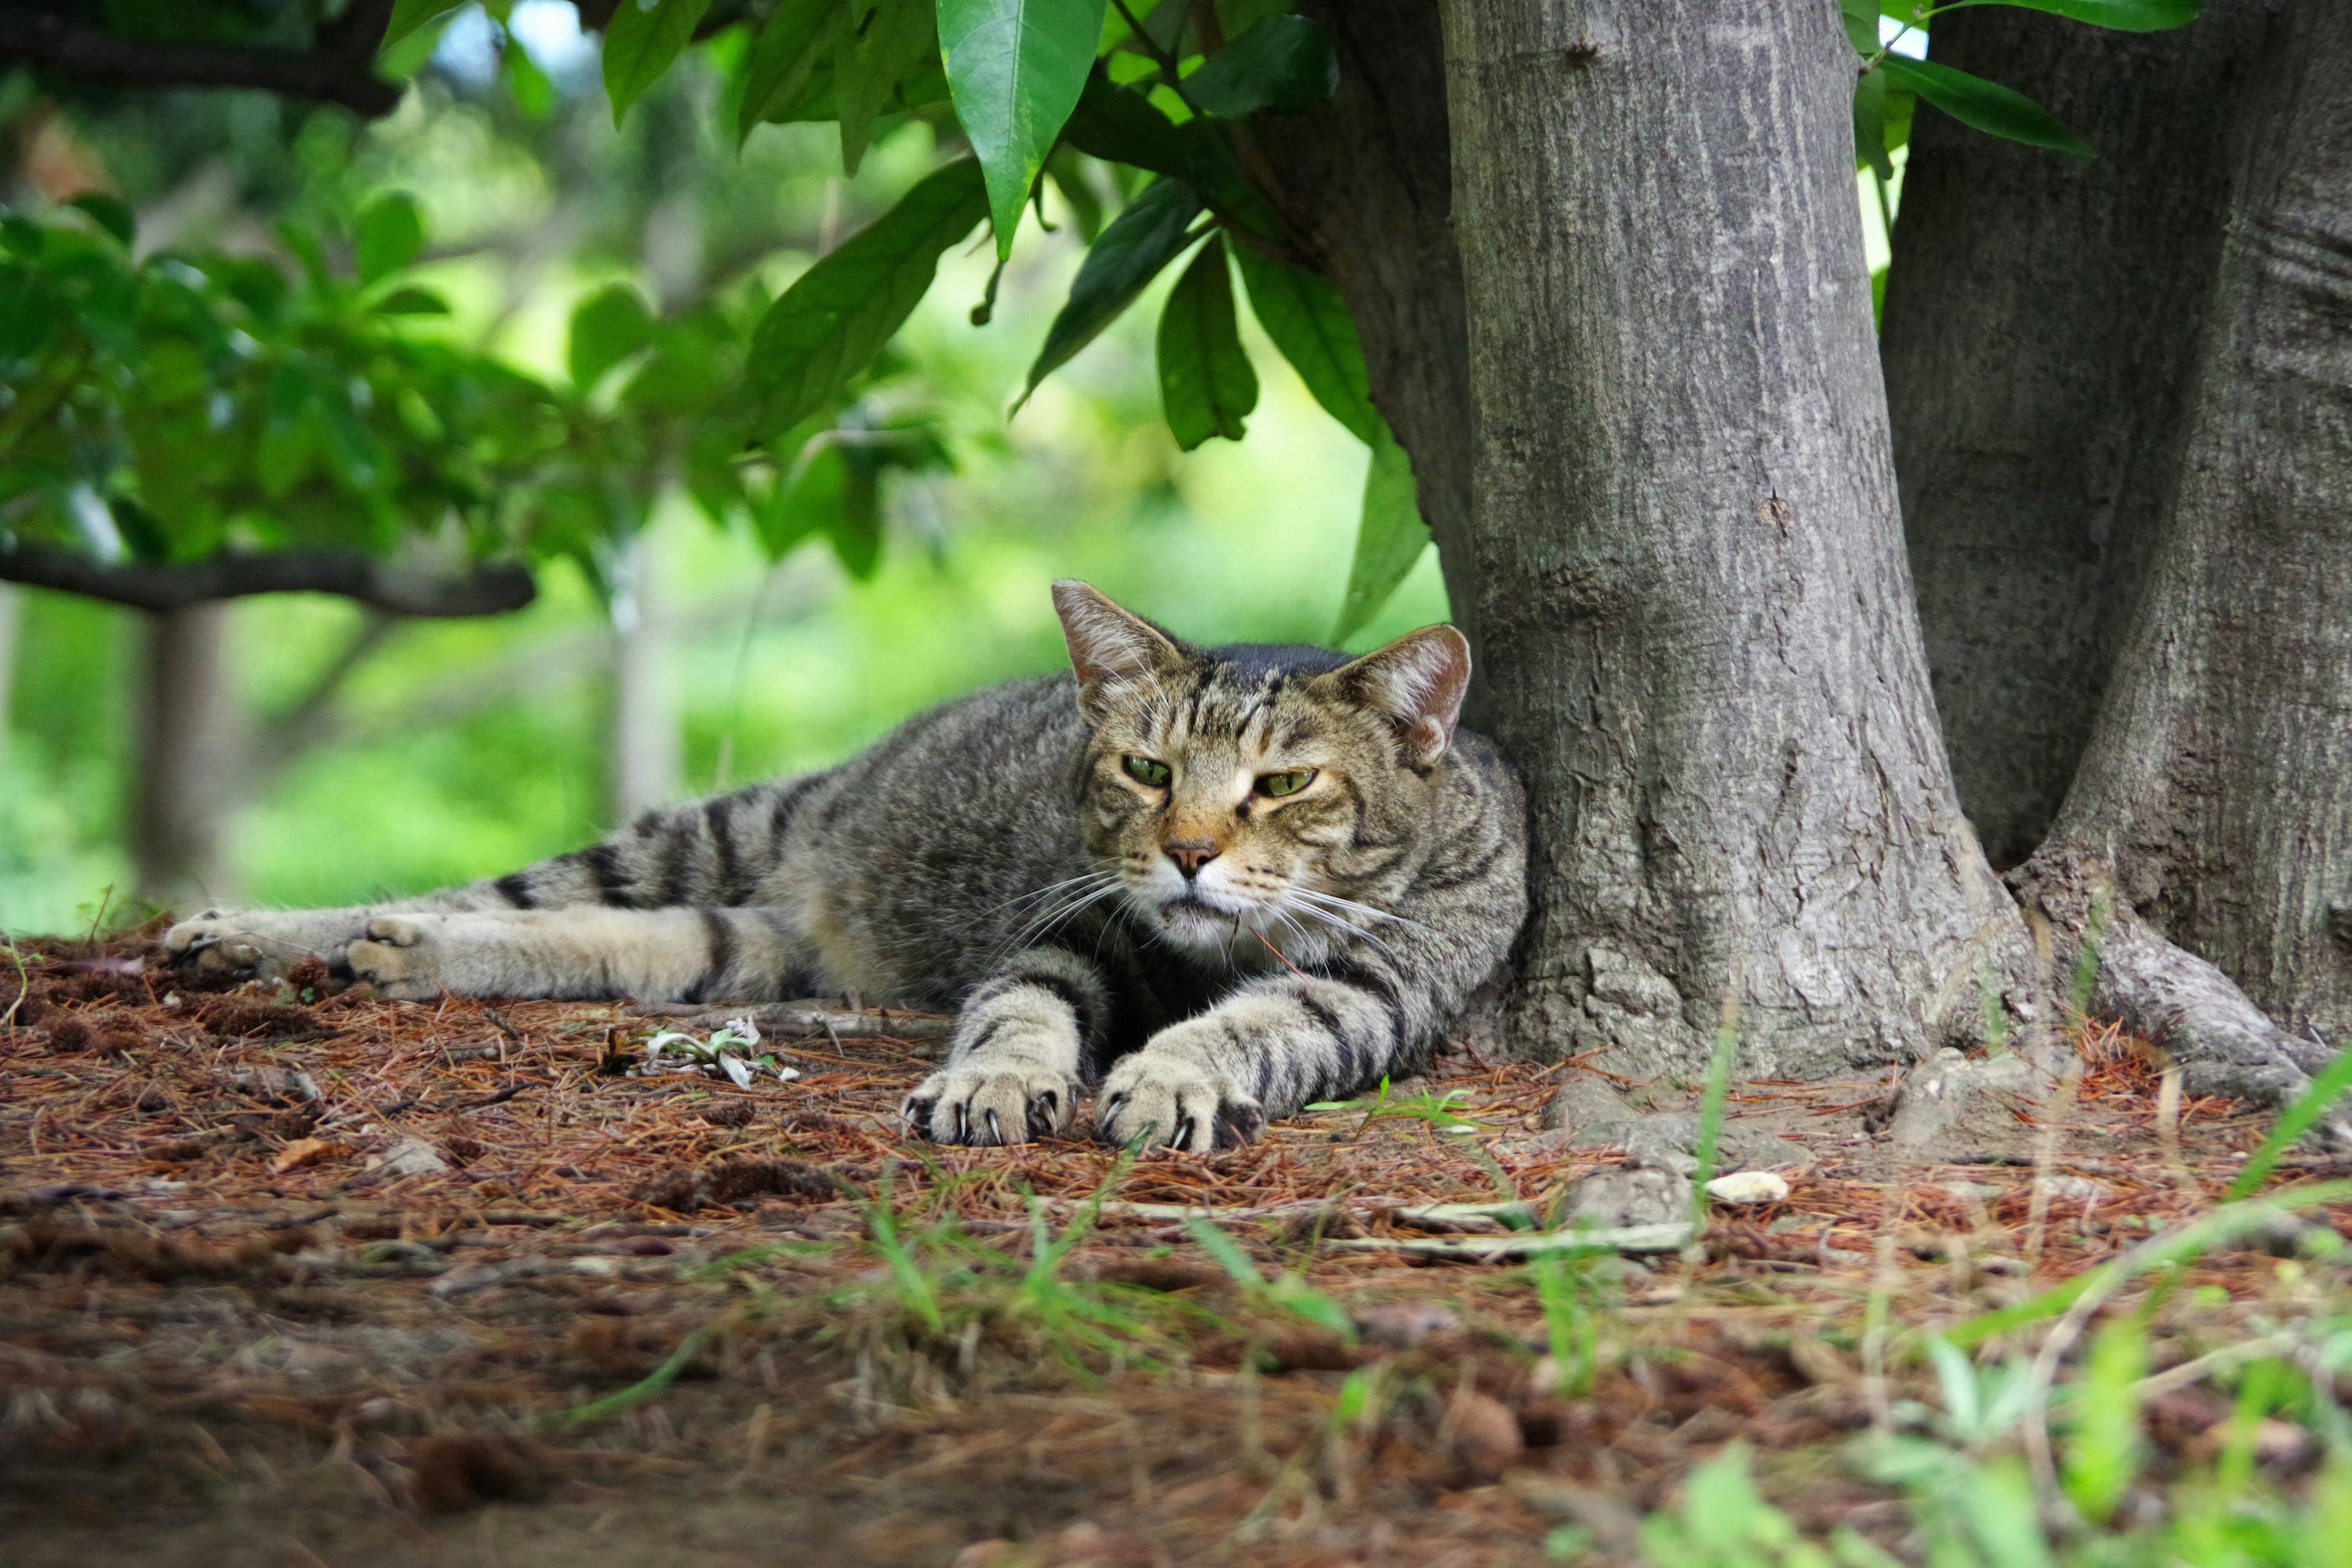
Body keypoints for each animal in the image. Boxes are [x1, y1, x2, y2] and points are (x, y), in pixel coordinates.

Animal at [161, 582, 1524, 1147]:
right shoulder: (1072, 929)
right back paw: (268, 934)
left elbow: (1258, 1021)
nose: (1188, 851)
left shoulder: (1378, 986)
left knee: (601, 941)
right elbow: (1019, 1010)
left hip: (733, 945)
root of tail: (812, 906)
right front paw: (995, 1083)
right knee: (499, 894)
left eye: (1283, 786)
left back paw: (388, 955)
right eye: (1145, 771)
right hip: (716, 830)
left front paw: (1176, 1075)